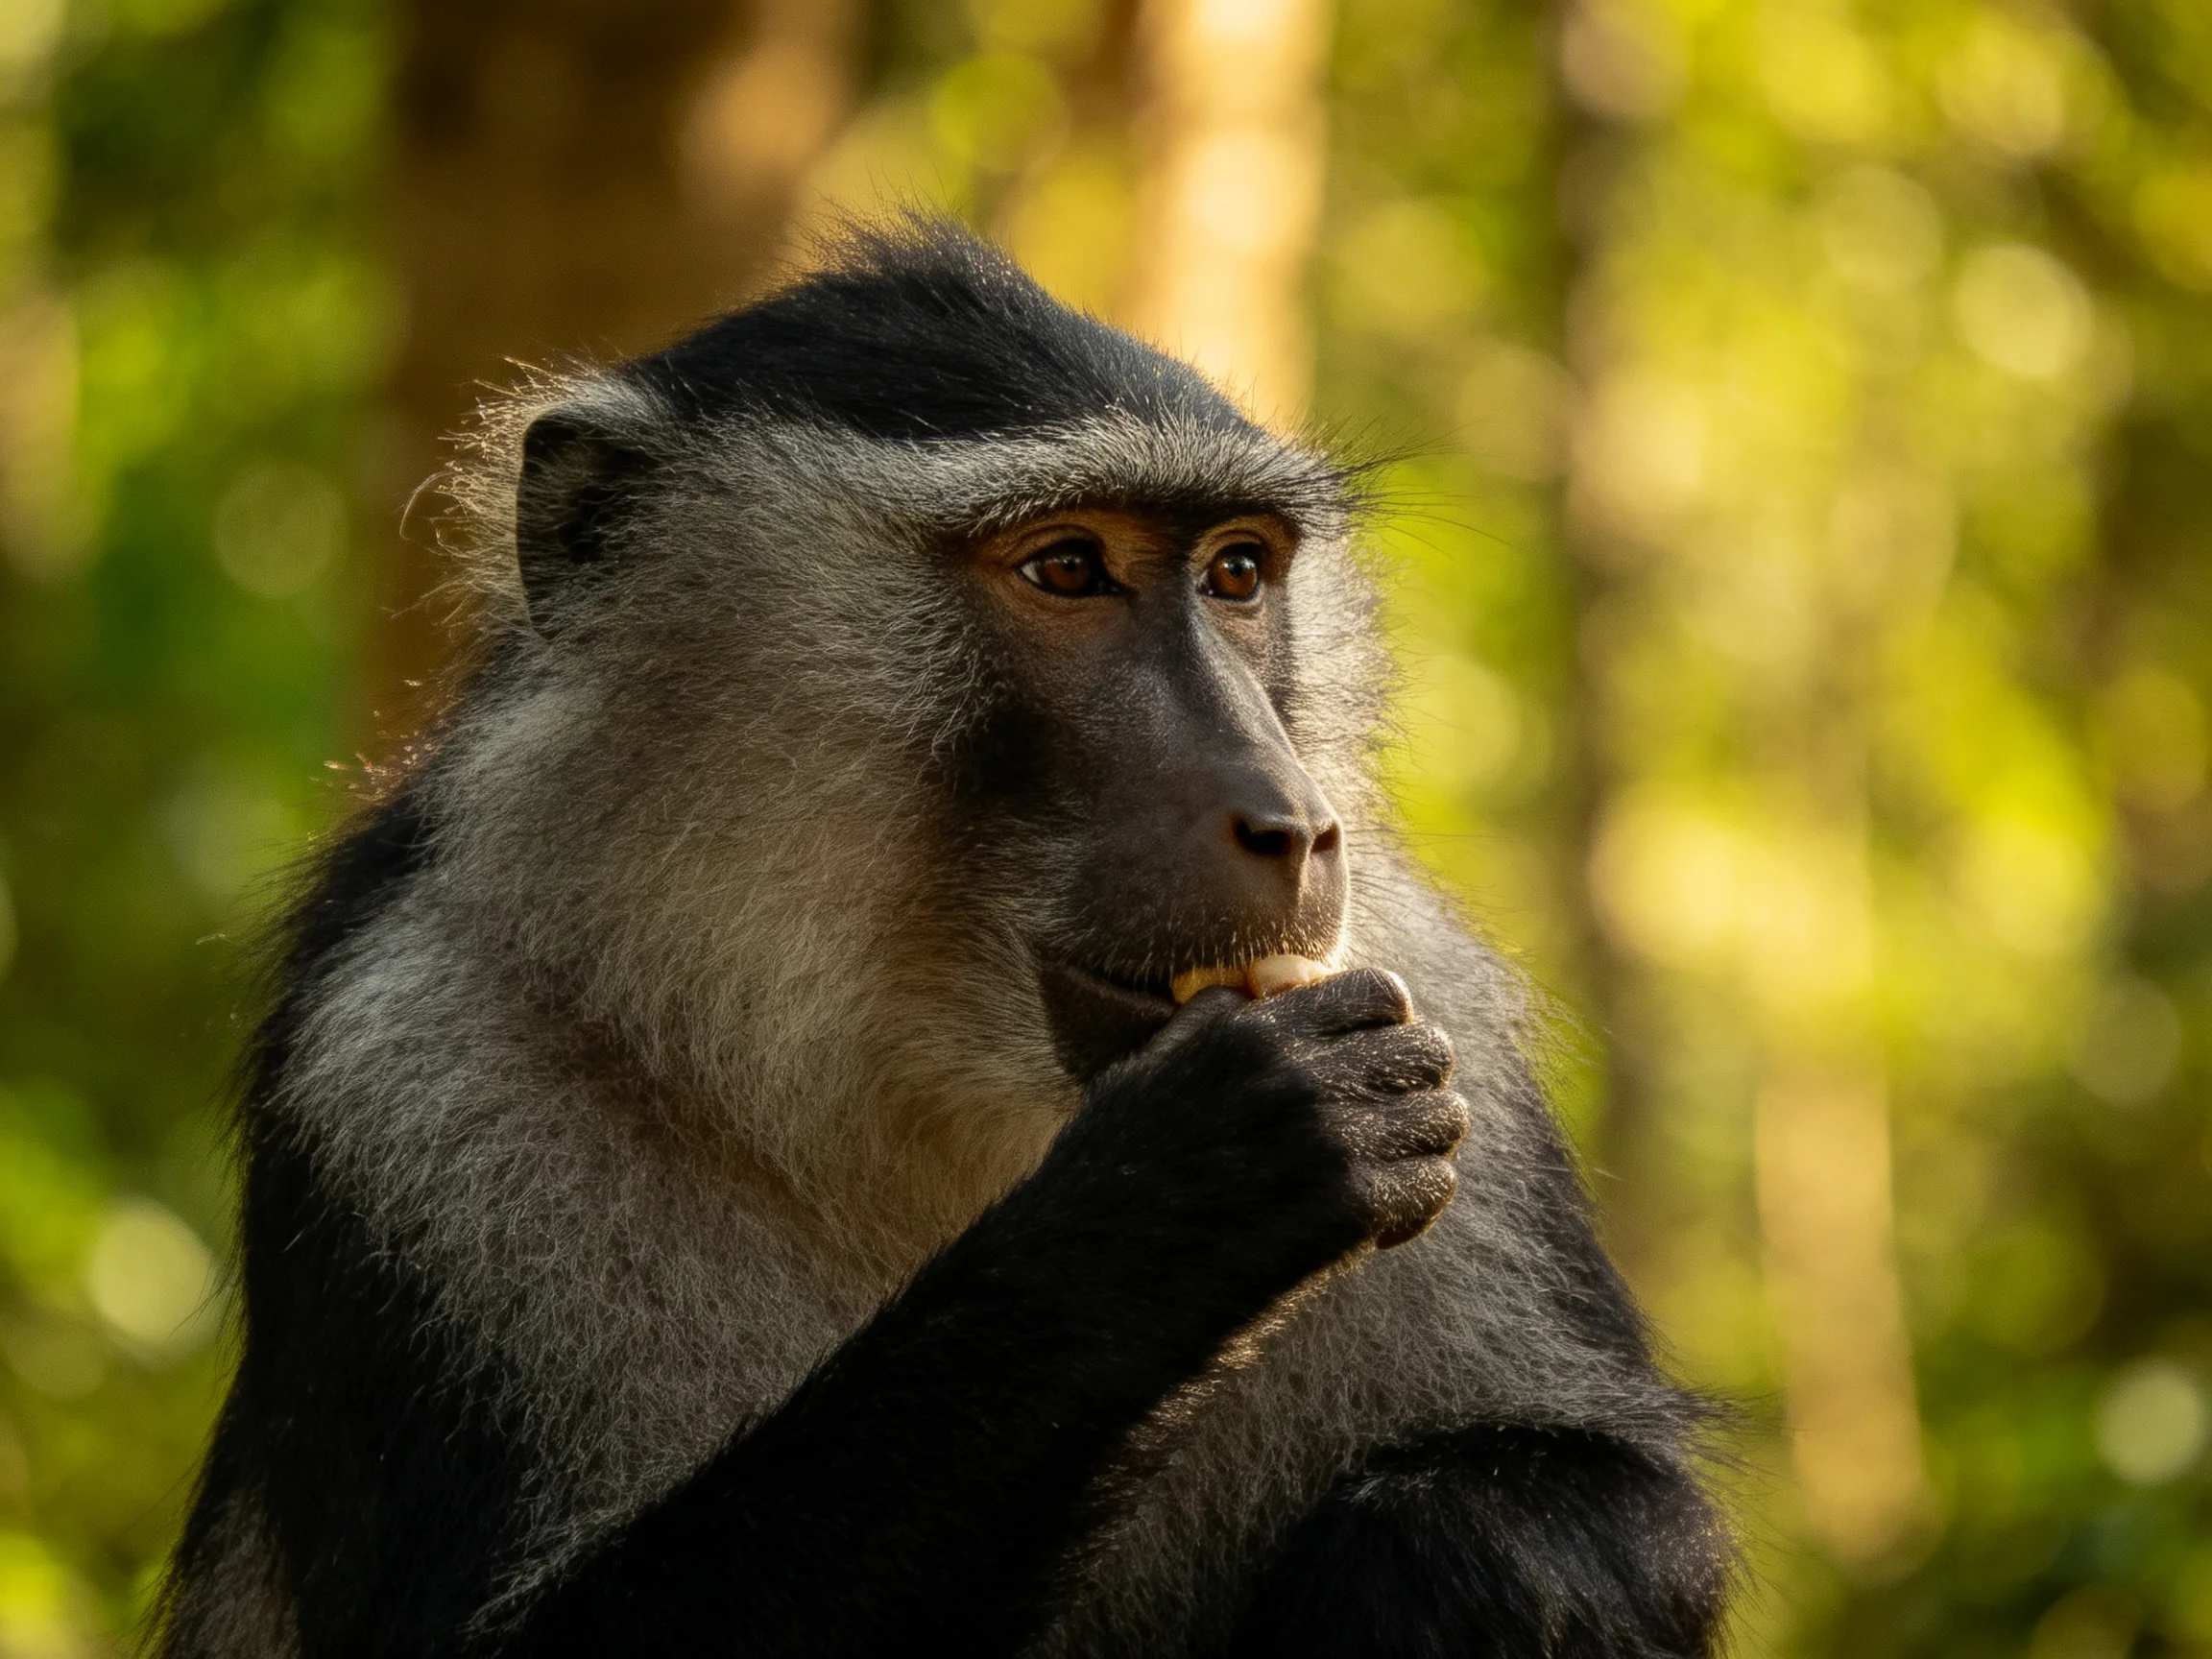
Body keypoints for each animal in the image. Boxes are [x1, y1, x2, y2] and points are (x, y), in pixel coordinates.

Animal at [158, 223, 1729, 1658]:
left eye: (1235, 573)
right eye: (1069, 567)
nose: (1288, 821)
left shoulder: (1432, 1014)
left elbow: (1607, 1513)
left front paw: (1444, 1561)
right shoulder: (409, 1079)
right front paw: (1177, 1196)